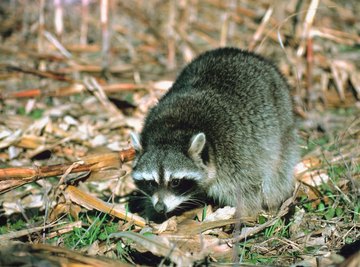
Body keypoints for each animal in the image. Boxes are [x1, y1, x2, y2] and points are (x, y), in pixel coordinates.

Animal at [131, 47, 300, 222]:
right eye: (151, 183)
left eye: (175, 182)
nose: (160, 207)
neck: (171, 131)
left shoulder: (235, 156)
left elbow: (247, 190)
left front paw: (245, 214)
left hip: (282, 123)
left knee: (278, 168)